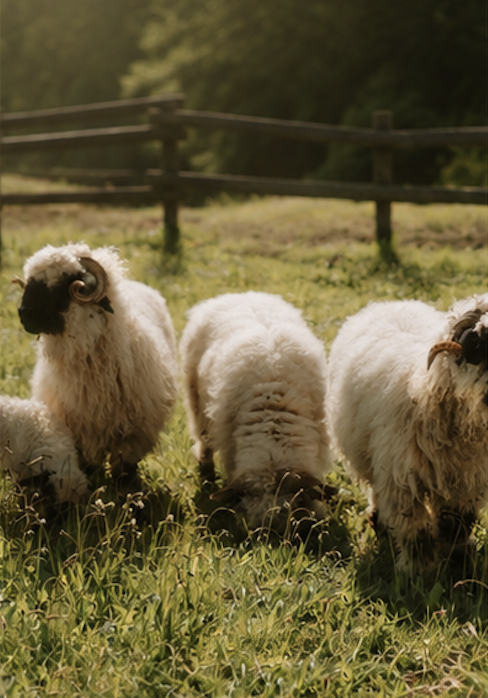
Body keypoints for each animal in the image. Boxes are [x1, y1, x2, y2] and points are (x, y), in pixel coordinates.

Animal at [16, 242, 178, 491]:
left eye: (63, 284)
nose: (24, 314)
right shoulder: (75, 428)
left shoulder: (135, 433)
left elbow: (125, 470)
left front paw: (127, 493)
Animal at [327, 295, 488, 572]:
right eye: (479, 344)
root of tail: (390, 302)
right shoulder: (402, 478)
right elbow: (416, 530)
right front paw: (417, 570)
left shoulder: (470, 482)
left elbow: (458, 523)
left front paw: (458, 554)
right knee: (378, 492)